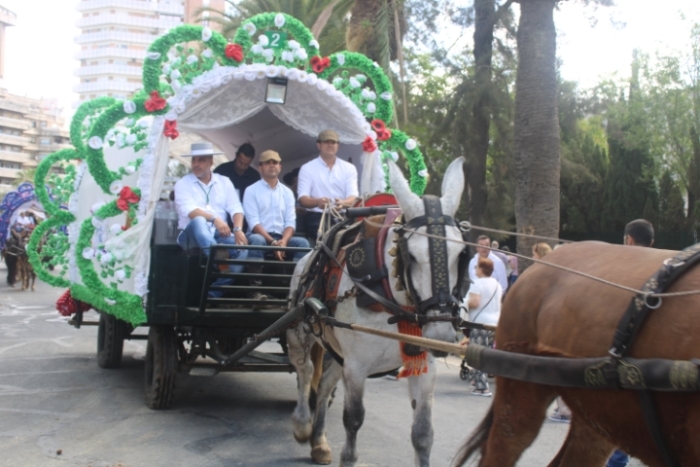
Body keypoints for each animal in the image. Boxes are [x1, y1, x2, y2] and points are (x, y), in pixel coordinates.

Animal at [288, 159, 468, 466]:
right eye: (412, 256)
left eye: (461, 255)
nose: (441, 334)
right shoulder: (357, 367)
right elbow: (353, 419)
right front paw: (347, 457)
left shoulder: (424, 367)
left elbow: (423, 434)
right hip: (300, 331)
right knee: (305, 370)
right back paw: (302, 424)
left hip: (338, 353)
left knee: (323, 385)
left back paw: (319, 441)